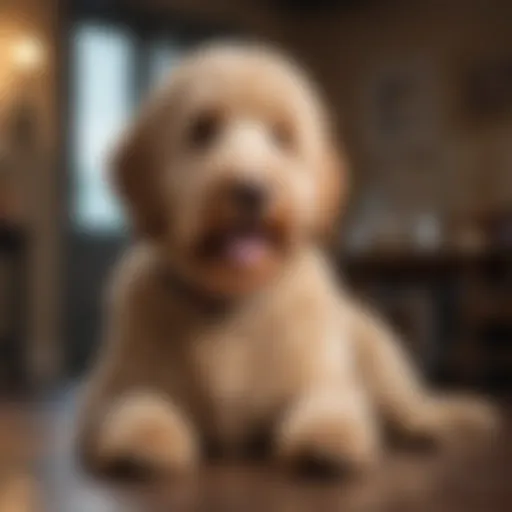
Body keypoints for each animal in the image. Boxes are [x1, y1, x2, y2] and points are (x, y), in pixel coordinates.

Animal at [78, 43, 498, 476]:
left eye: (282, 136)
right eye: (202, 130)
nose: (250, 189)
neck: (230, 304)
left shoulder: (325, 381)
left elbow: (330, 406)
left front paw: (326, 439)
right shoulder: (107, 394)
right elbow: (136, 403)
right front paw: (141, 438)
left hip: (380, 358)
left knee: (408, 408)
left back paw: (427, 426)